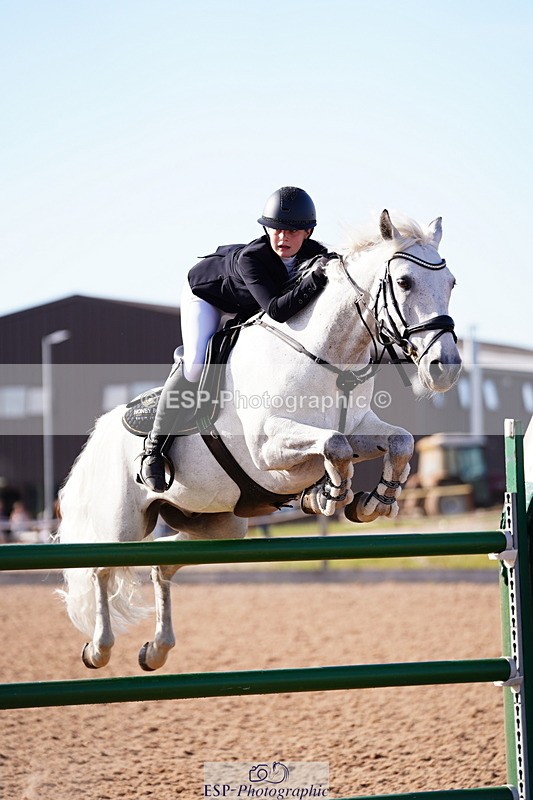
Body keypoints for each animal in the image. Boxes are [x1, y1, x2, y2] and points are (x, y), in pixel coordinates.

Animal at [58, 209, 461, 671]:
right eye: (405, 282)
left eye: (451, 284)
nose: (445, 368)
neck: (326, 355)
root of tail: (103, 428)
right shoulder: (268, 448)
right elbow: (333, 445)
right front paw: (327, 495)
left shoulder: (359, 426)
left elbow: (398, 442)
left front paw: (373, 500)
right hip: (121, 523)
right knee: (101, 568)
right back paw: (98, 648)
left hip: (218, 524)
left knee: (163, 566)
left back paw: (156, 650)